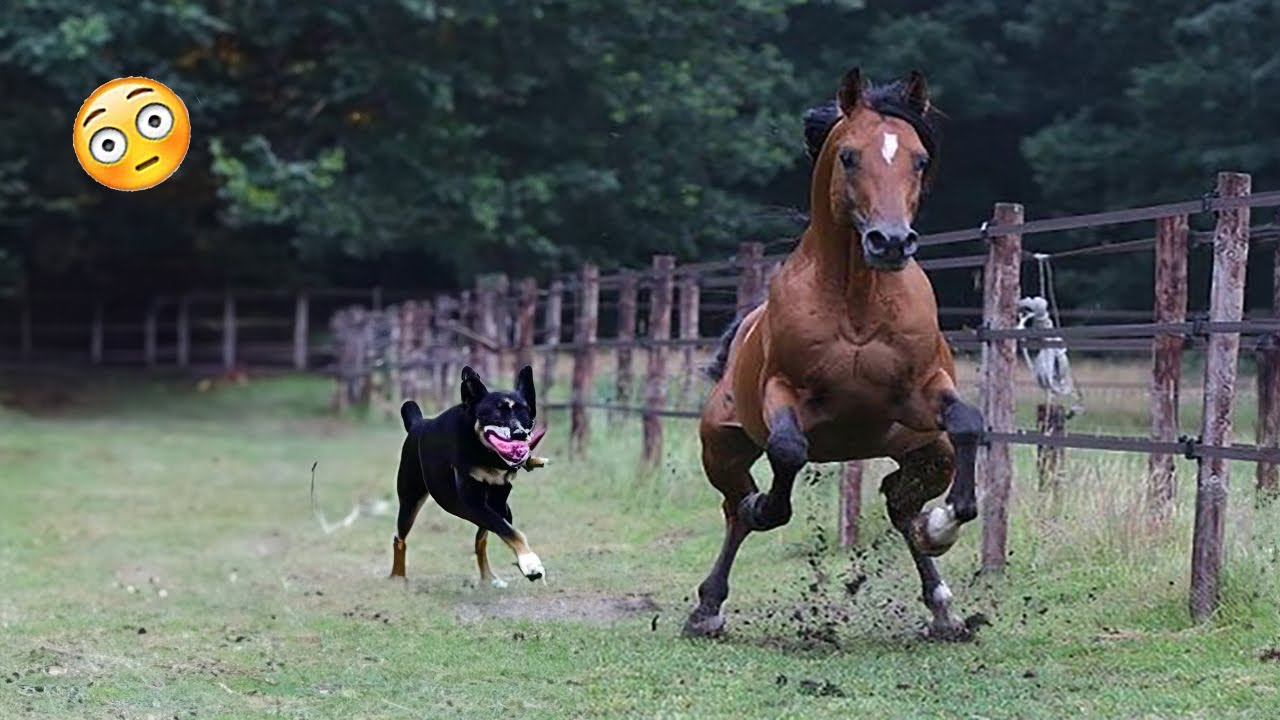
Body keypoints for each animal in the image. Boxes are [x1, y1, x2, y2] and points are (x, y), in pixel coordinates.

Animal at [682, 68, 983, 641]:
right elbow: (786, 452)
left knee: (901, 502)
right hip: (721, 447)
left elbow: (969, 422)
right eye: (848, 156)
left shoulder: (921, 392)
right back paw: (707, 609)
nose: (890, 242)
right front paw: (765, 507)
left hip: (926, 450)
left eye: (919, 159)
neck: (857, 304)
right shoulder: (784, 393)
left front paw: (942, 527)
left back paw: (943, 607)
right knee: (734, 509)